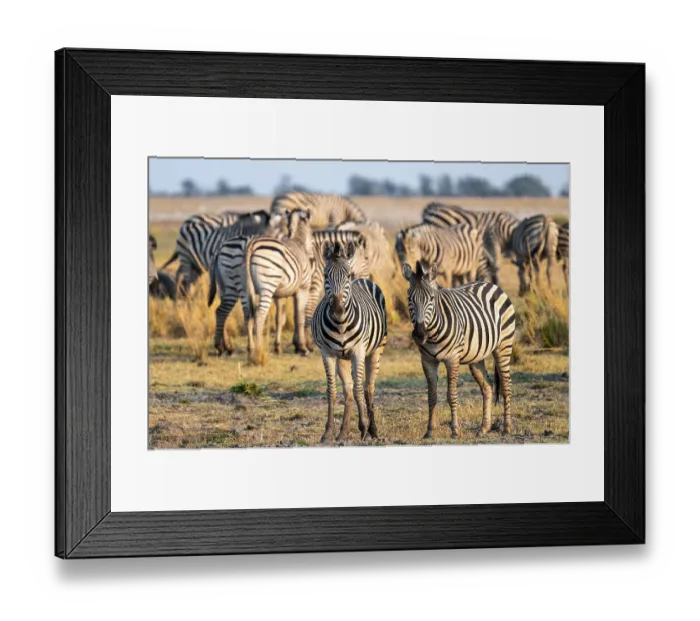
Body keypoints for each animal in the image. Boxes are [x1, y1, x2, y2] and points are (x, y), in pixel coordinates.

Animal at [243, 208, 315, 360]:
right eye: (312, 236)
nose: (312, 258)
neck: (298, 242)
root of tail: (252, 245)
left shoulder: (279, 295)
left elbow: (280, 319)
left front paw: (278, 347)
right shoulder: (303, 289)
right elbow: (300, 317)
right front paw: (303, 348)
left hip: (246, 288)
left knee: (248, 314)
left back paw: (250, 348)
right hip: (267, 286)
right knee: (259, 314)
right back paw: (259, 348)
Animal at [311, 241, 388, 443]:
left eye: (347, 275)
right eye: (325, 275)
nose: (338, 308)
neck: (340, 324)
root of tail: (361, 279)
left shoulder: (358, 352)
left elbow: (359, 389)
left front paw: (363, 427)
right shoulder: (327, 354)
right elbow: (332, 391)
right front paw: (328, 432)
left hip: (376, 351)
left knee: (368, 388)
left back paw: (373, 430)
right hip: (342, 359)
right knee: (348, 390)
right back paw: (343, 431)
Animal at [402, 260, 516, 438]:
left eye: (432, 299)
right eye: (409, 298)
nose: (420, 334)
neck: (432, 334)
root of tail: (490, 284)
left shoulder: (452, 359)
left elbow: (451, 395)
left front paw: (455, 430)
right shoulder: (427, 360)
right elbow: (431, 396)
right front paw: (429, 431)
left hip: (504, 345)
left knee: (506, 385)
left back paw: (506, 428)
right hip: (476, 356)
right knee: (487, 386)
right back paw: (484, 428)